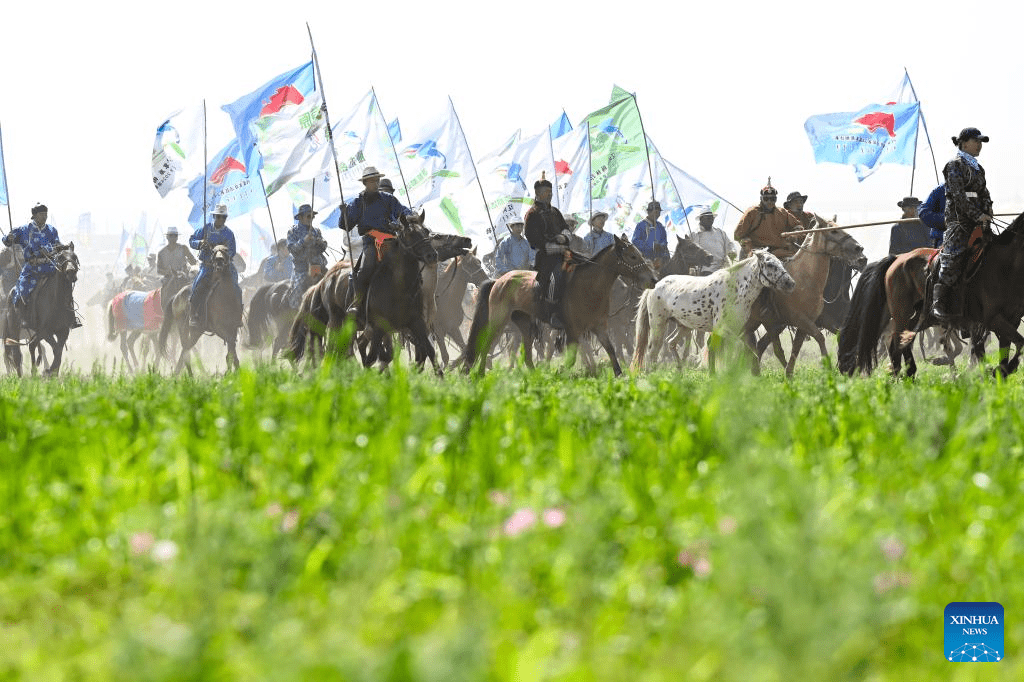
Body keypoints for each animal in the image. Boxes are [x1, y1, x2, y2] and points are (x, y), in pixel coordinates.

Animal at [1, 241, 79, 374]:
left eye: (74, 257)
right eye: (60, 257)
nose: (71, 272)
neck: (57, 300)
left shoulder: (63, 331)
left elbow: (58, 352)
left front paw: (51, 373)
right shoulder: (45, 331)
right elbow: (56, 350)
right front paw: (48, 372)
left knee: (32, 345)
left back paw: (34, 373)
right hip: (14, 329)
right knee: (16, 355)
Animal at [156, 244, 242, 372]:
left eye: (226, 250)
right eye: (213, 251)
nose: (219, 262)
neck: (226, 298)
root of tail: (176, 296)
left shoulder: (233, 328)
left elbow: (232, 352)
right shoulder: (219, 328)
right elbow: (231, 349)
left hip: (196, 330)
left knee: (186, 349)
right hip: (184, 327)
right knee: (186, 349)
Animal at [462, 232, 655, 372]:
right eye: (632, 256)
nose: (652, 279)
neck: (589, 286)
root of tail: (499, 281)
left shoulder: (599, 327)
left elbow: (612, 353)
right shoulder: (573, 331)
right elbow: (571, 359)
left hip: (524, 323)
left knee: (526, 354)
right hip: (498, 321)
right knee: (486, 345)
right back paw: (479, 375)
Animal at [630, 246, 798, 368]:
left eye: (780, 263)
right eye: (770, 264)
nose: (790, 283)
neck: (735, 289)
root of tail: (655, 284)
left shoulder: (739, 329)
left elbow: (747, 351)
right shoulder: (721, 329)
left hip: (684, 327)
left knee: (671, 343)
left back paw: (680, 370)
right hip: (658, 326)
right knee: (652, 353)